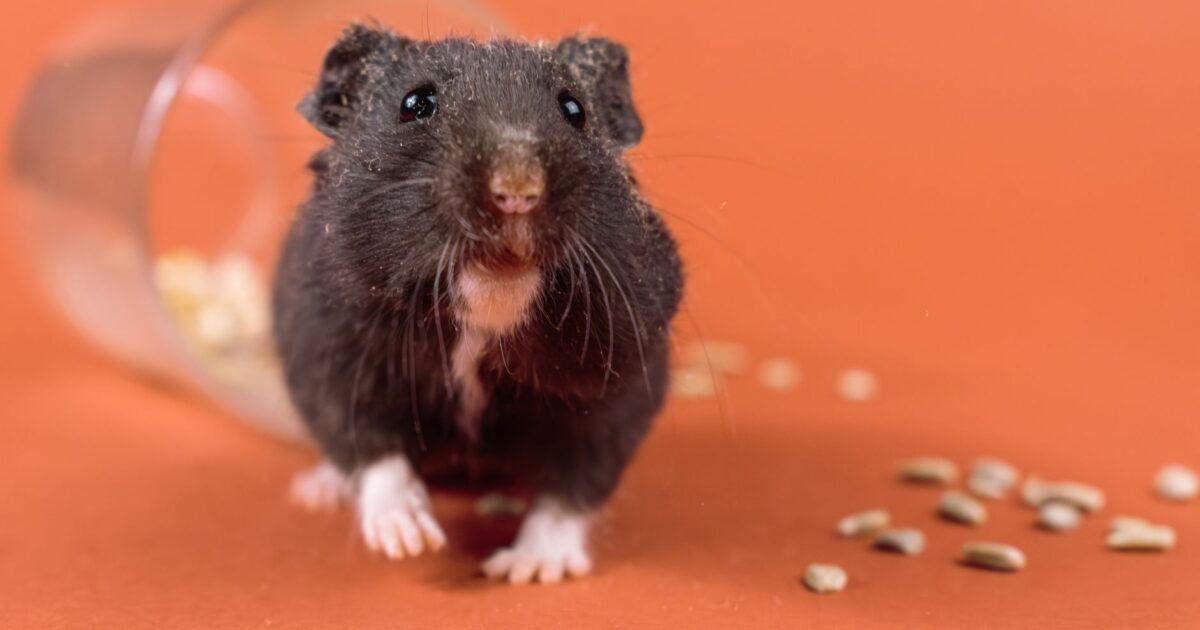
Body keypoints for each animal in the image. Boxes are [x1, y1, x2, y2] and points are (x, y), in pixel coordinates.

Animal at [272, 25, 683, 584]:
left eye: (574, 109)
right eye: (415, 104)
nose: (517, 192)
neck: (492, 301)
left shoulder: (618, 380)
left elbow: (575, 482)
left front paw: (528, 569)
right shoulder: (328, 350)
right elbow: (369, 445)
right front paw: (410, 541)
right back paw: (317, 492)